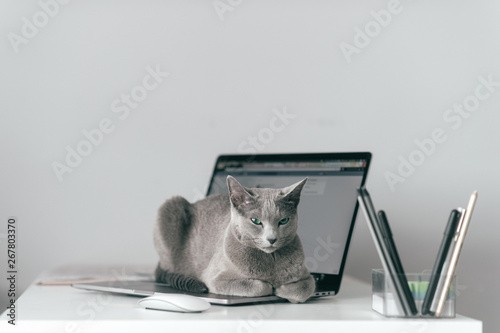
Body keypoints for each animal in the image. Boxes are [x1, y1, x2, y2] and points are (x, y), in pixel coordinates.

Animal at [154, 175, 314, 302]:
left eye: (283, 221)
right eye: (256, 221)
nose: (272, 239)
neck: (270, 259)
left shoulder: (308, 276)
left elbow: (304, 288)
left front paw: (282, 288)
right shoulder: (215, 279)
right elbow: (257, 286)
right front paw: (272, 287)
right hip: (171, 206)